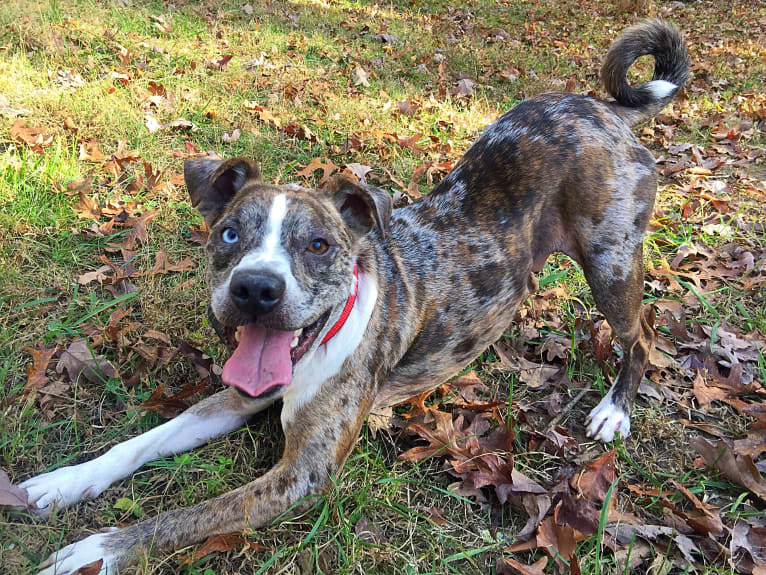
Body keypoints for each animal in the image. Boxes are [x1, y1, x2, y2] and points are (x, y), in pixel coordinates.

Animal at [19, 19, 688, 575]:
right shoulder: (236, 396)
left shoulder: (301, 475)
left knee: (644, 334)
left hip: (610, 263)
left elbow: (186, 517)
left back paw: (615, 409)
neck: (321, 341)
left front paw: (98, 549)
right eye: (230, 234)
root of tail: (601, 109)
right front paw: (63, 483)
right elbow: (141, 442)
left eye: (317, 245)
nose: (255, 288)